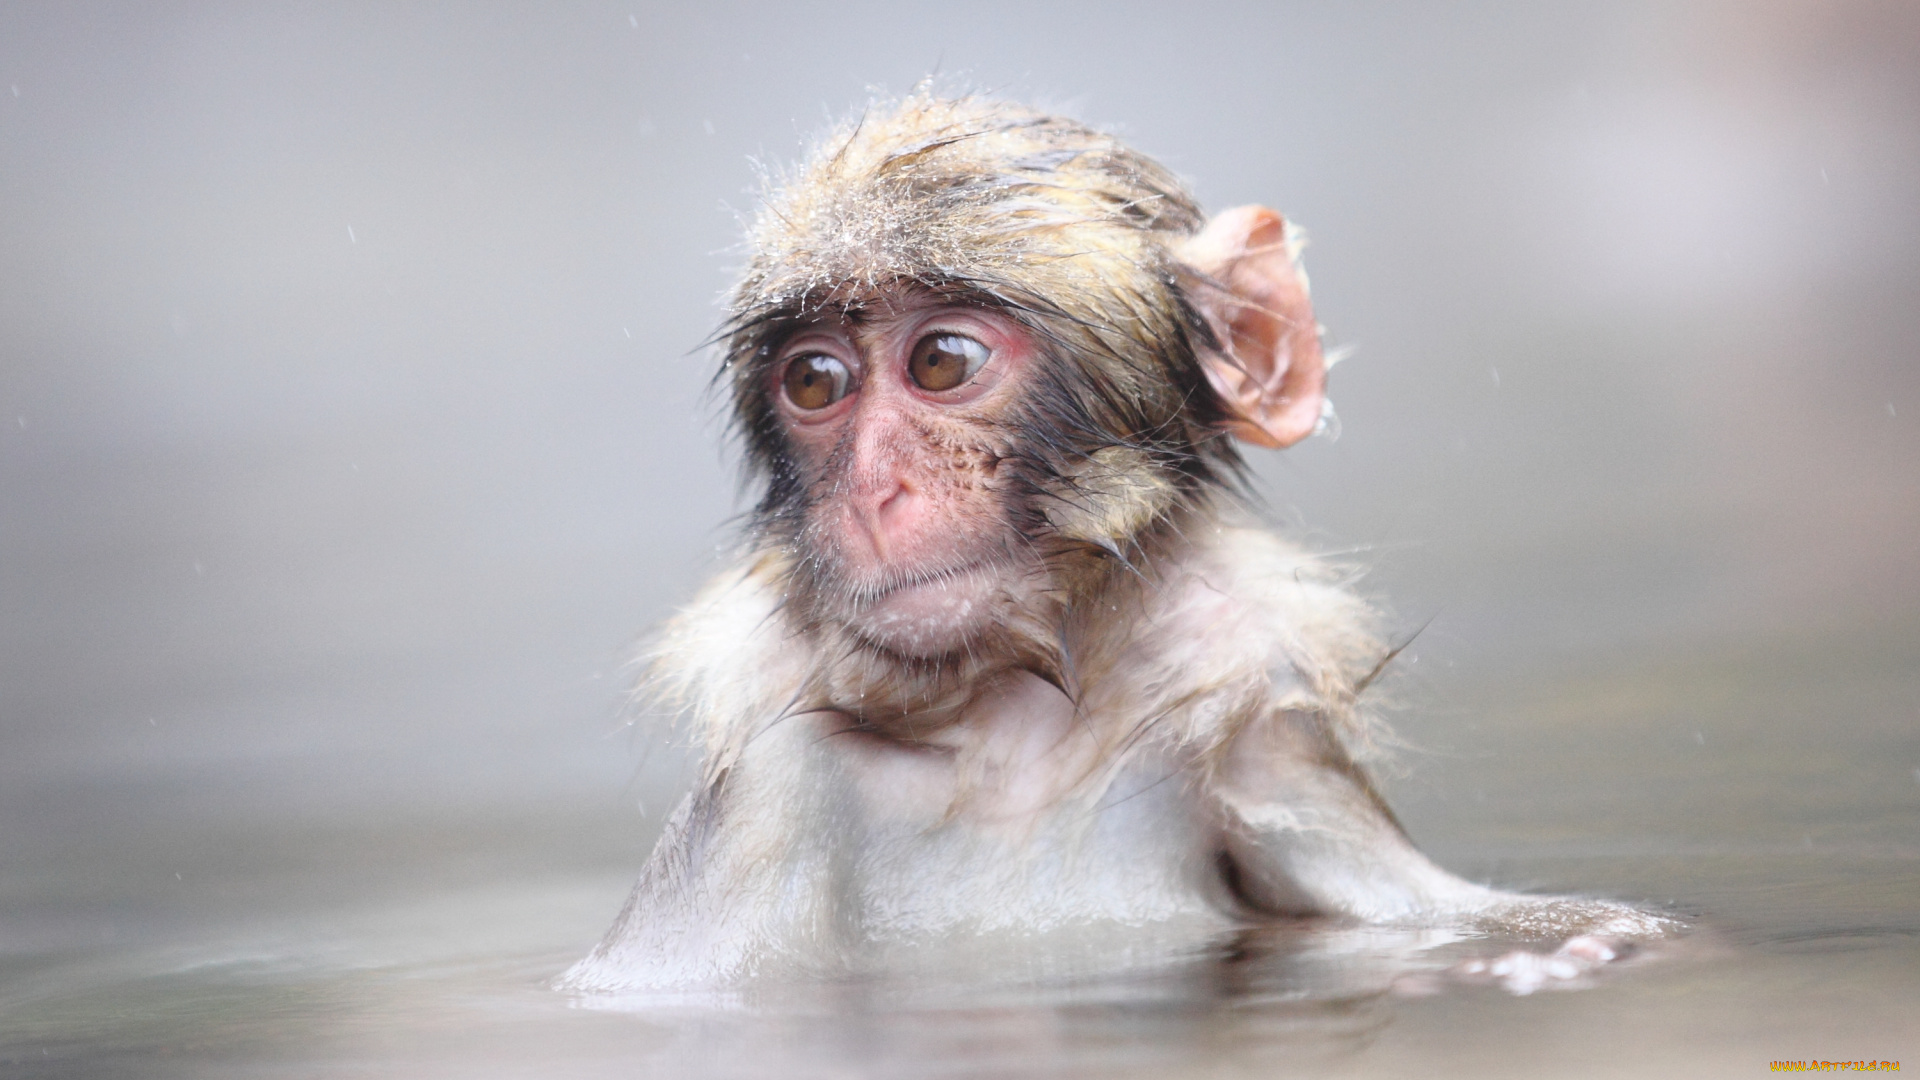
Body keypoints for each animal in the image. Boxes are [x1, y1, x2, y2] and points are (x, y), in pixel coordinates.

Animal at [562, 93, 1675, 997]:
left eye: (941, 360)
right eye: (815, 380)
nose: (876, 491)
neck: (1015, 744)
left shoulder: (1271, 755)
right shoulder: (768, 790)